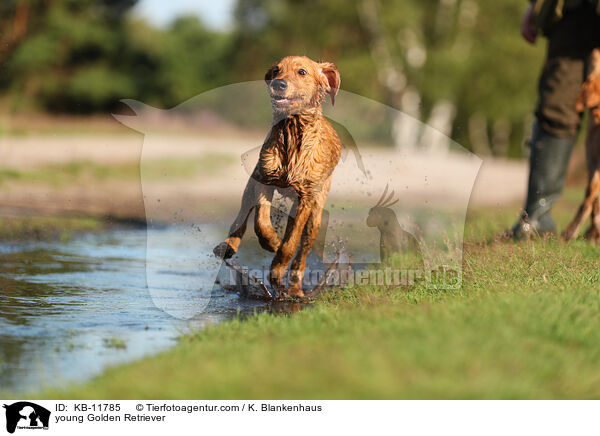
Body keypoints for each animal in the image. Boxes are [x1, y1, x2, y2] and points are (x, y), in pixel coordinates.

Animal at [213, 56, 342, 296]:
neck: (292, 133)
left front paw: (277, 271)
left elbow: (290, 244)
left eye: (302, 72)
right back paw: (227, 246)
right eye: (276, 70)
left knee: (302, 251)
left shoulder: (306, 198)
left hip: (316, 212)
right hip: (251, 184)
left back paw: (296, 288)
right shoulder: (264, 182)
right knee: (240, 219)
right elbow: (261, 222)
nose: (278, 84)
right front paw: (272, 242)